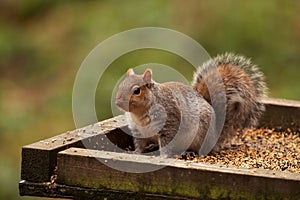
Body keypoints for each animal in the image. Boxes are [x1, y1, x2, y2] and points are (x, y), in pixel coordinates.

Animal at [115, 53, 268, 158]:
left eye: (136, 91)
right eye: (121, 85)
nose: (118, 103)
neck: (140, 113)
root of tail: (215, 137)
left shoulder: (170, 120)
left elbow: (167, 141)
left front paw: (163, 156)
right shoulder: (138, 129)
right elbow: (140, 143)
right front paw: (136, 152)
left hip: (201, 134)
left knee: (201, 150)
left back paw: (188, 152)